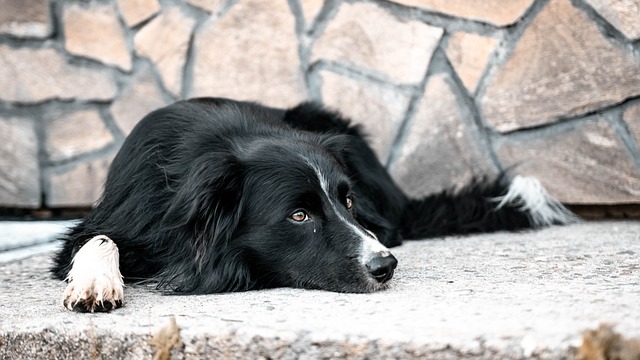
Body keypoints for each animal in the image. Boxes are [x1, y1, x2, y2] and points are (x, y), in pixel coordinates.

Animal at [52, 97, 576, 312]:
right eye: (298, 215)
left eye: (348, 201)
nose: (385, 267)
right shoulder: (122, 214)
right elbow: (97, 238)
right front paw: (96, 285)